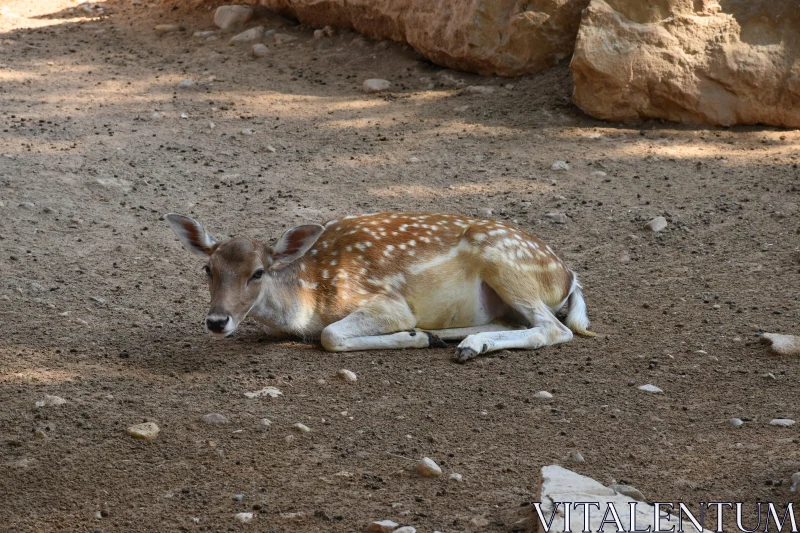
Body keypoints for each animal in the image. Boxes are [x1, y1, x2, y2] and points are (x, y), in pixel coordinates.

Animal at [164, 212, 592, 362]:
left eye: (257, 272)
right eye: (208, 268)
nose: (217, 321)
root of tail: (566, 275)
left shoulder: (387, 303)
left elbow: (331, 336)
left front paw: (413, 337)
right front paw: (422, 336)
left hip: (505, 263)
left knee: (555, 329)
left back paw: (457, 343)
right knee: (515, 322)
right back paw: (450, 338)